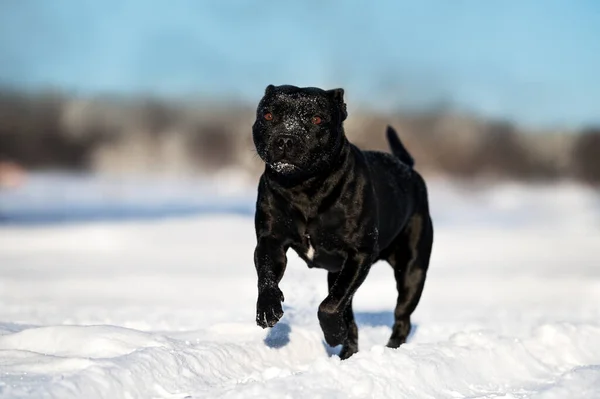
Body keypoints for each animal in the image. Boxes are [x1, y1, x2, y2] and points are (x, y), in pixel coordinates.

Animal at [251, 84, 434, 360]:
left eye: (317, 119)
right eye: (269, 115)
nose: (285, 138)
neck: (304, 188)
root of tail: (408, 168)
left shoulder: (359, 254)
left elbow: (330, 306)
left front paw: (333, 334)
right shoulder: (270, 241)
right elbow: (267, 274)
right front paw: (268, 309)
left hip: (412, 270)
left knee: (401, 317)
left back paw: (389, 350)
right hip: (338, 273)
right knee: (350, 315)